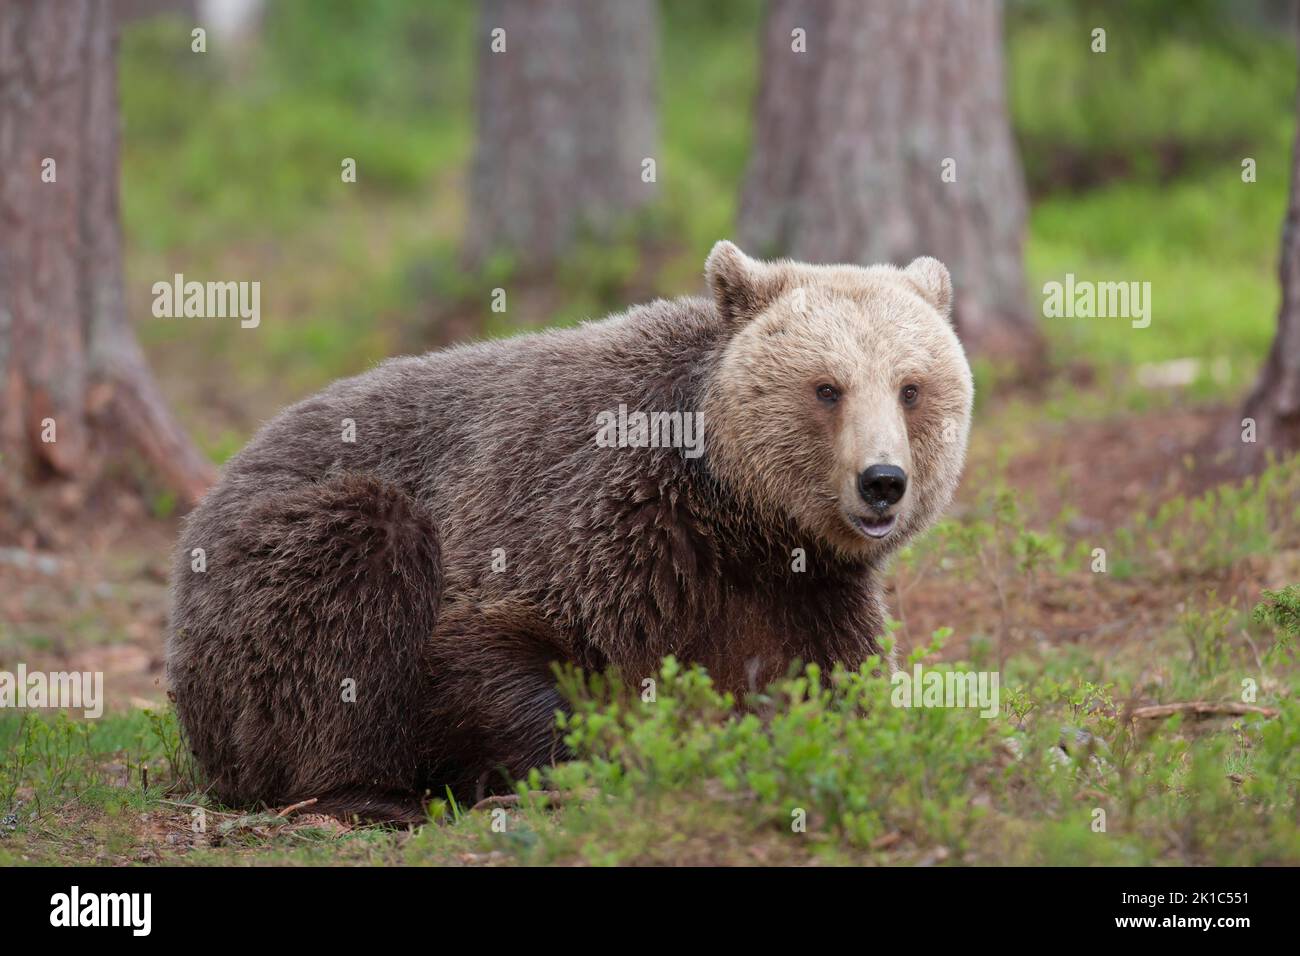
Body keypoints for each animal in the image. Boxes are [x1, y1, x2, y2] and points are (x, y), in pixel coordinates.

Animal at [165, 240, 973, 822]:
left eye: (911, 387)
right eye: (827, 387)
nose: (882, 481)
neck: (735, 515)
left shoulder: (801, 594)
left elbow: (833, 687)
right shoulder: (584, 522)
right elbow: (480, 650)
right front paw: (594, 755)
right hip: (275, 561)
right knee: (356, 574)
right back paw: (369, 794)